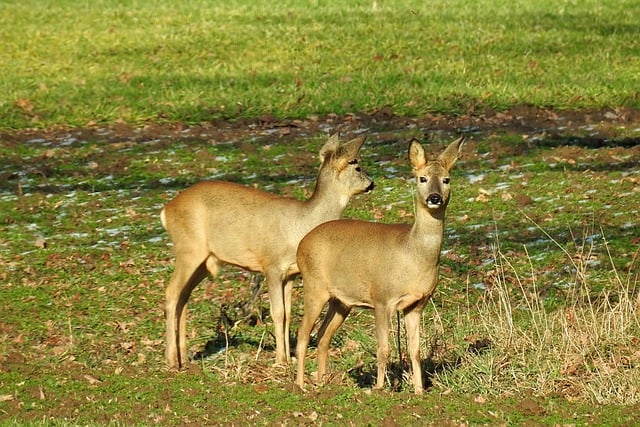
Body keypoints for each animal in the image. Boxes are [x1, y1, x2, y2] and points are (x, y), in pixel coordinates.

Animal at [160, 135, 376, 370]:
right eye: (356, 165)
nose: (371, 183)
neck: (301, 225)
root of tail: (166, 211)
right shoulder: (271, 264)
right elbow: (278, 312)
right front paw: (280, 361)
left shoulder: (291, 273)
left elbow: (288, 313)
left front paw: (289, 357)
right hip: (188, 249)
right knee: (171, 293)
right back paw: (171, 360)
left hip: (203, 261)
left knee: (184, 296)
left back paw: (184, 358)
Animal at [296, 136, 464, 394]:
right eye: (422, 178)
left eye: (447, 179)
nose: (434, 198)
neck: (412, 254)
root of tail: (302, 243)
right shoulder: (382, 298)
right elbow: (384, 349)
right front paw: (379, 388)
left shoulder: (417, 304)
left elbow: (415, 350)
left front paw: (419, 390)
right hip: (314, 286)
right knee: (303, 333)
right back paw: (299, 385)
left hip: (341, 301)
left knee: (323, 336)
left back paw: (322, 381)